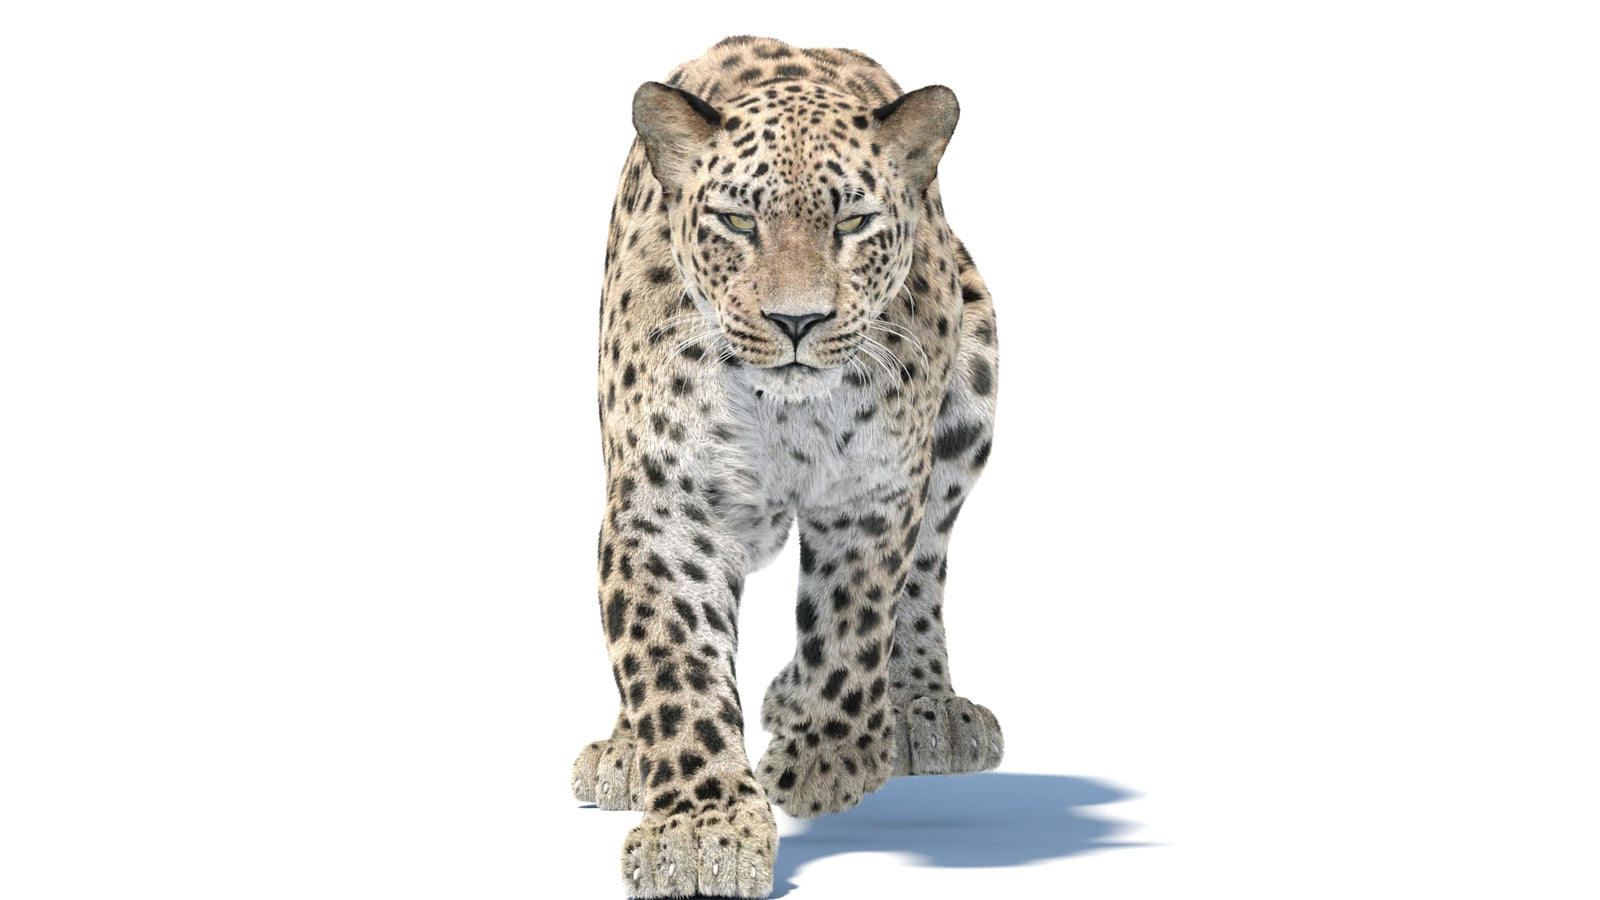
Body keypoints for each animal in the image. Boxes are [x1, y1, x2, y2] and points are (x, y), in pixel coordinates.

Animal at [569, 36, 1003, 898]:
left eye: (854, 222)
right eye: (738, 221)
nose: (797, 321)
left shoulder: (878, 490)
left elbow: (853, 624)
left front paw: (825, 760)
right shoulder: (666, 509)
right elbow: (672, 664)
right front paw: (699, 832)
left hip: (969, 398)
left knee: (925, 571)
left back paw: (922, 711)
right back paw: (626, 751)